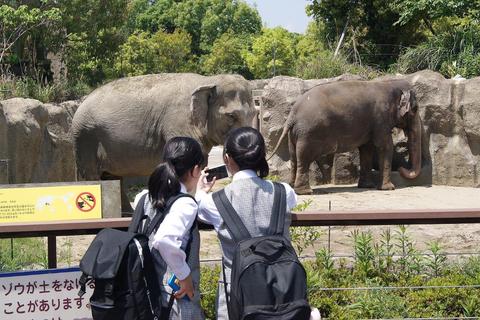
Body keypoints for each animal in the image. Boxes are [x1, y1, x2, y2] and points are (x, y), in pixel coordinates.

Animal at [71, 73, 255, 211]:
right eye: (231, 116)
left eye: (254, 113)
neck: (207, 80)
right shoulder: (179, 123)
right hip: (86, 138)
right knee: (92, 176)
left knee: (113, 178)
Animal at [268, 80, 422, 195]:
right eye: (415, 109)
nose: (401, 168)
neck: (389, 83)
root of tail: (292, 115)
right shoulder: (381, 118)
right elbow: (384, 146)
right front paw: (389, 188)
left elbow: (366, 148)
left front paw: (367, 186)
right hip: (307, 133)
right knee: (304, 158)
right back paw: (305, 192)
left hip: (294, 134)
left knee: (294, 158)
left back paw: (292, 187)